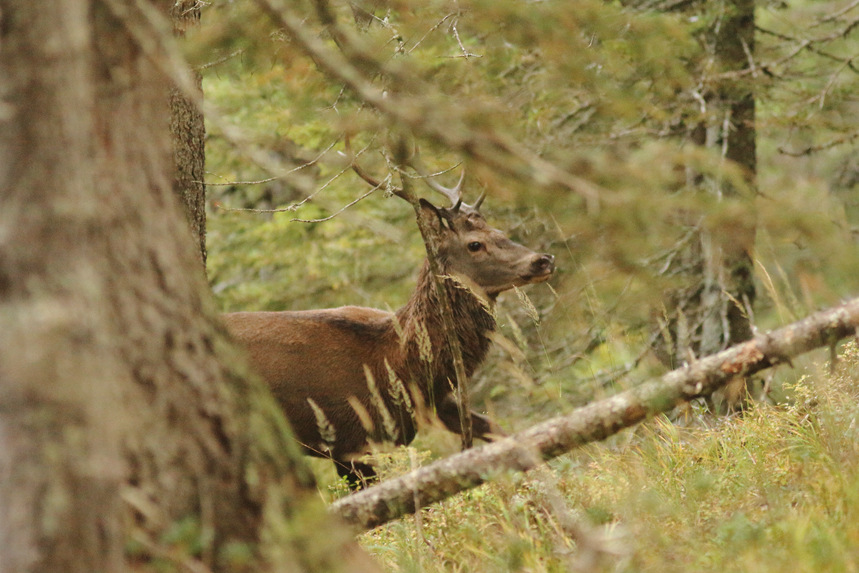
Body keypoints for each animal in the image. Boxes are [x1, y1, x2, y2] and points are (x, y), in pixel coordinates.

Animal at [223, 155, 556, 488]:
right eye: (475, 244)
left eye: (498, 230)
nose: (543, 259)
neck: (399, 362)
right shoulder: (348, 439)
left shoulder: (434, 404)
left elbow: (500, 432)